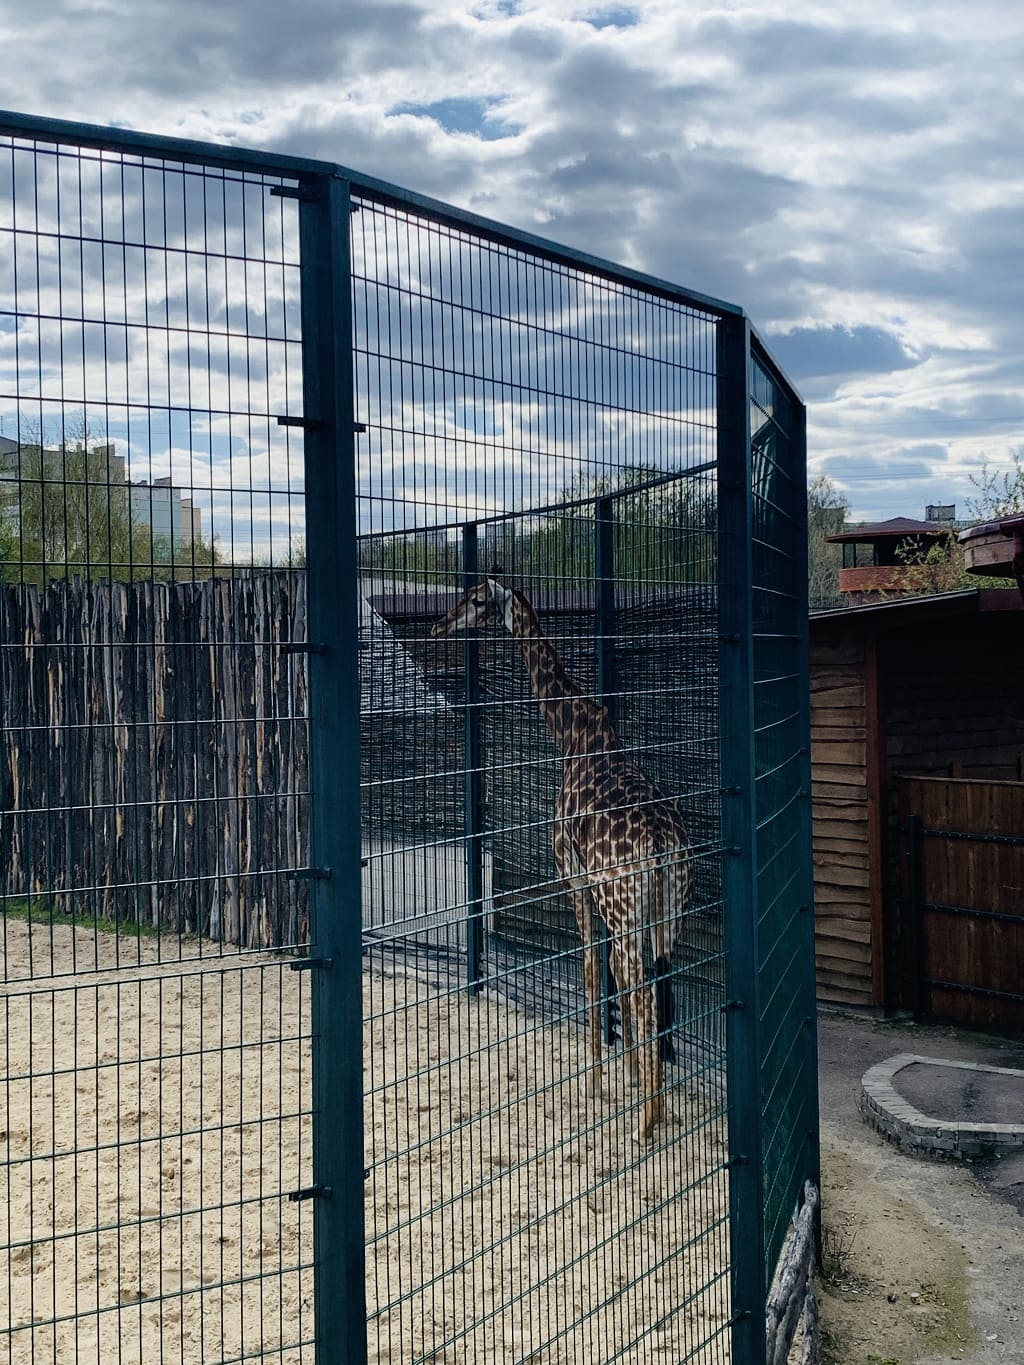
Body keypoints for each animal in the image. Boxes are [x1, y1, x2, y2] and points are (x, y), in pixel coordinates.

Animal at [428, 576, 693, 1141]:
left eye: (478, 600)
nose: (440, 624)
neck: (570, 732)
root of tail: (662, 838)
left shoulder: (573, 877)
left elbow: (591, 966)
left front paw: (595, 1079)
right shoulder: (606, 895)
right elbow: (610, 974)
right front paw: (631, 1074)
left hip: (623, 903)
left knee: (637, 984)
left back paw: (645, 1124)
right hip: (666, 908)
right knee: (659, 982)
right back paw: (657, 1103)